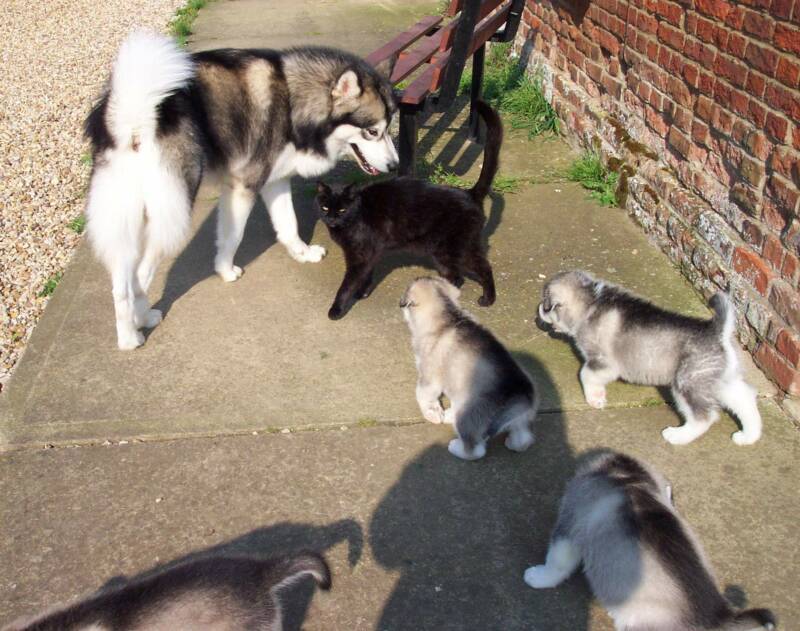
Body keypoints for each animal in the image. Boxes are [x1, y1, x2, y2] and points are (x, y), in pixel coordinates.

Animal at [84, 32, 396, 350]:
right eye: (372, 131)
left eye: (389, 128)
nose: (395, 165)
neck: (293, 101)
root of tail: (134, 117)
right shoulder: (244, 184)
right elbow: (234, 236)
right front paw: (225, 271)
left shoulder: (275, 181)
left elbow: (288, 225)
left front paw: (302, 254)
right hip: (174, 213)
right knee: (139, 275)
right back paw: (141, 320)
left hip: (125, 217)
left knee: (121, 283)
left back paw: (127, 335)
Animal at [400, 276, 536, 460]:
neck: (446, 317)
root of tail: (522, 394)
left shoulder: (429, 376)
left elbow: (423, 395)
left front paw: (431, 413)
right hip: (518, 420)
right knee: (523, 438)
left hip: (468, 417)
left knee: (475, 450)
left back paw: (456, 447)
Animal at [536, 270, 764, 444]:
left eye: (545, 303)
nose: (538, 310)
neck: (591, 303)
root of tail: (717, 332)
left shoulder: (603, 362)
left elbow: (586, 374)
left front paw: (596, 398)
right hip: (722, 380)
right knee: (745, 399)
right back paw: (748, 436)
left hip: (687, 382)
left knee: (704, 417)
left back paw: (678, 436)